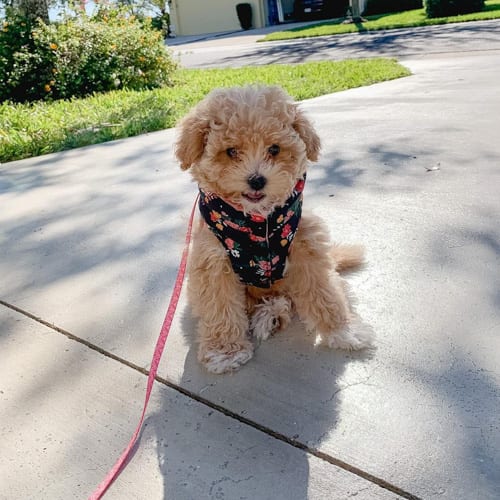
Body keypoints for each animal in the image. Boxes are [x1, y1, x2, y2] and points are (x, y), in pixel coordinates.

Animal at [174, 86, 374, 374]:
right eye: (231, 151)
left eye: (275, 148)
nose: (257, 180)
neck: (258, 223)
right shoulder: (213, 261)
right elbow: (220, 307)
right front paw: (225, 352)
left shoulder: (306, 247)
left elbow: (325, 293)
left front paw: (343, 332)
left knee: (300, 296)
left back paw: (271, 314)